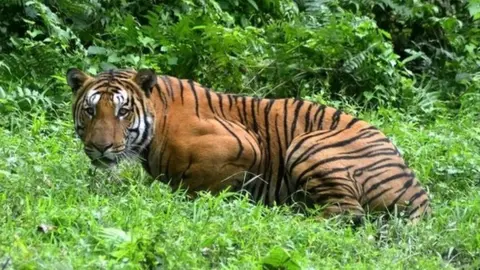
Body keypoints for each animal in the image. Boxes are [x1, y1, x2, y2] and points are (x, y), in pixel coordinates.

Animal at [66, 67, 432, 224]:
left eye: (123, 111)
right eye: (91, 110)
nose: (100, 147)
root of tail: (419, 193)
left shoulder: (243, 144)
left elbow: (198, 186)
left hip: (308, 144)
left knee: (346, 214)